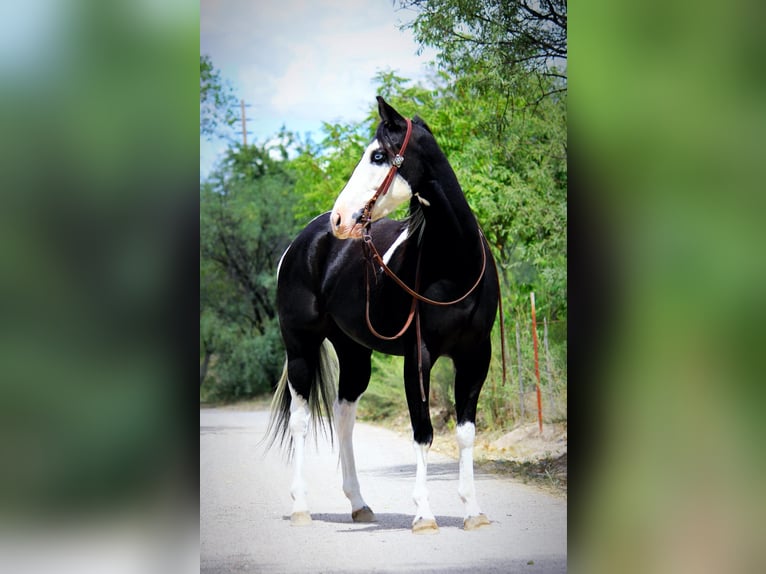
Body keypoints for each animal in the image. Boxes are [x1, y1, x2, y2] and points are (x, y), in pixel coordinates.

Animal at [268, 97, 500, 532]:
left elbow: (465, 433)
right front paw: (424, 514)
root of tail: (304, 241)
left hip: (354, 352)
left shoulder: (476, 356)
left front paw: (473, 511)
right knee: (301, 420)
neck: (455, 265)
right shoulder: (419, 356)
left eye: (378, 155)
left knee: (344, 415)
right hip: (300, 347)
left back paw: (359, 503)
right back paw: (301, 506)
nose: (340, 218)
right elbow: (423, 431)